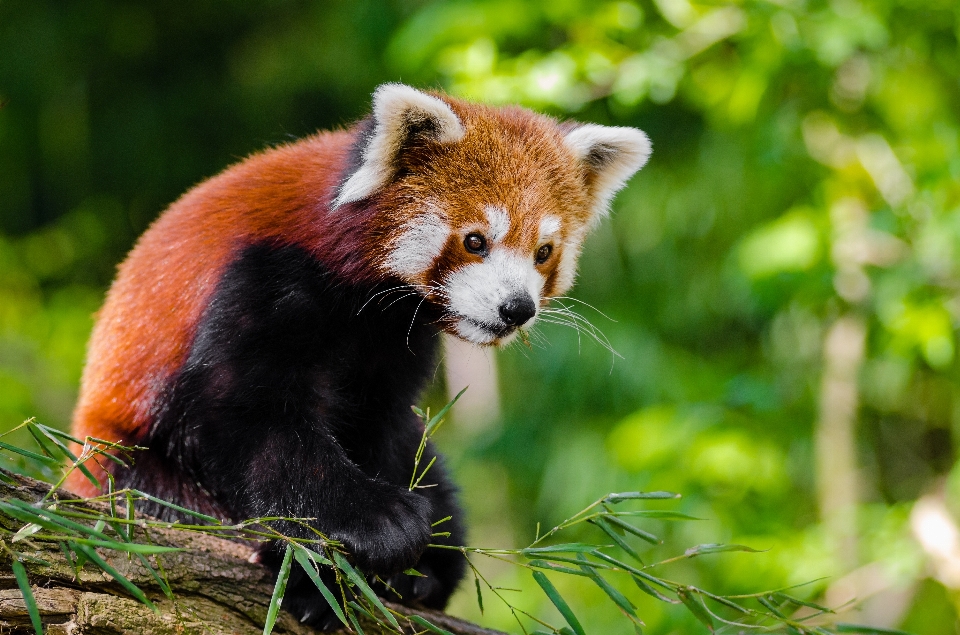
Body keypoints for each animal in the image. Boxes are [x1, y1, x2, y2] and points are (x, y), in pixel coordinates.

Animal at [67, 84, 652, 628]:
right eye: (475, 241)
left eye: (544, 253)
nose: (516, 308)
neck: (359, 291)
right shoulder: (258, 278)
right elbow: (248, 420)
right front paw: (378, 525)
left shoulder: (392, 341)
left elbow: (382, 428)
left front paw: (403, 567)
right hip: (118, 458)